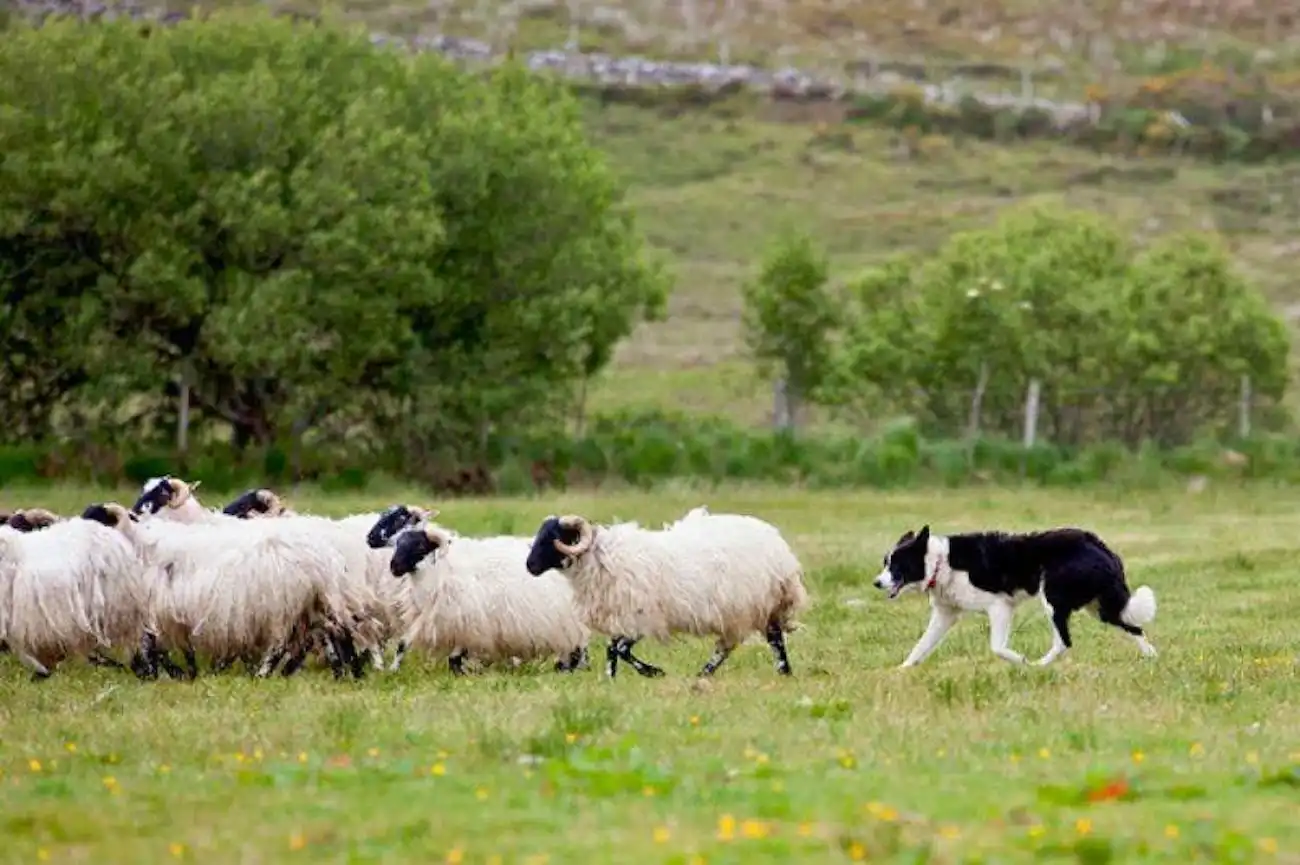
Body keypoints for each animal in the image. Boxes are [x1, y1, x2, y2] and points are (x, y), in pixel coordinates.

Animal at [388, 523, 590, 676]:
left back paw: (573, 668)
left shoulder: (467, 621)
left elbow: (455, 657)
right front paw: (393, 669)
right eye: (397, 544)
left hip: (569, 621)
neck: (439, 571)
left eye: (420, 546)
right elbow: (403, 644)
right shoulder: (430, 618)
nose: (394, 567)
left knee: (579, 647)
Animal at [524, 511, 808, 679]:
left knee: (761, 640)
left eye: (554, 537)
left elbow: (620, 649)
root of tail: (778, 546)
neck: (600, 558)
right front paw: (610, 678)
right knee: (758, 640)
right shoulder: (625, 617)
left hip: (750, 605)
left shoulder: (642, 617)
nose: (530, 566)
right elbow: (612, 649)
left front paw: (653, 672)